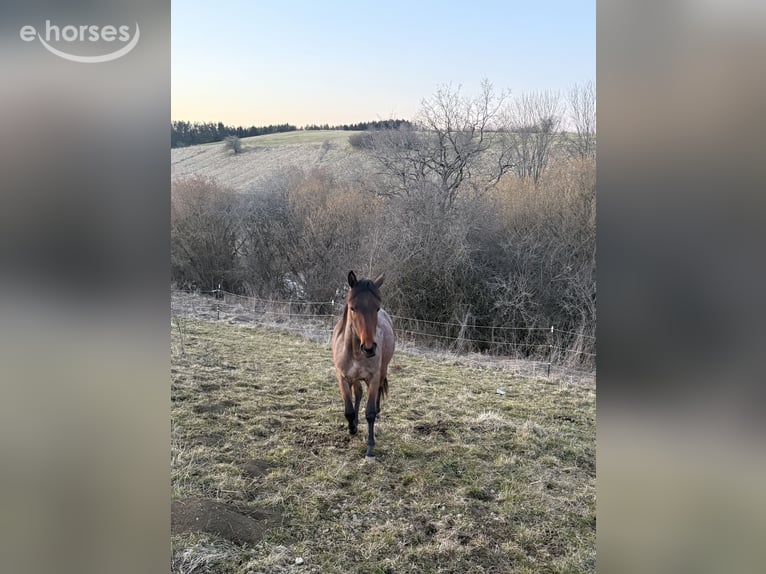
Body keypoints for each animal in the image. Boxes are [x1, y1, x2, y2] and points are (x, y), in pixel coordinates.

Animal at [332, 271, 395, 459]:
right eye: (353, 308)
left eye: (377, 308)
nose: (369, 348)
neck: (355, 353)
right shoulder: (343, 378)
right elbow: (349, 409)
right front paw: (352, 427)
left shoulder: (372, 379)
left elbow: (370, 413)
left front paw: (370, 448)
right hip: (354, 378)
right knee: (358, 394)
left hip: (382, 371)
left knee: (379, 391)